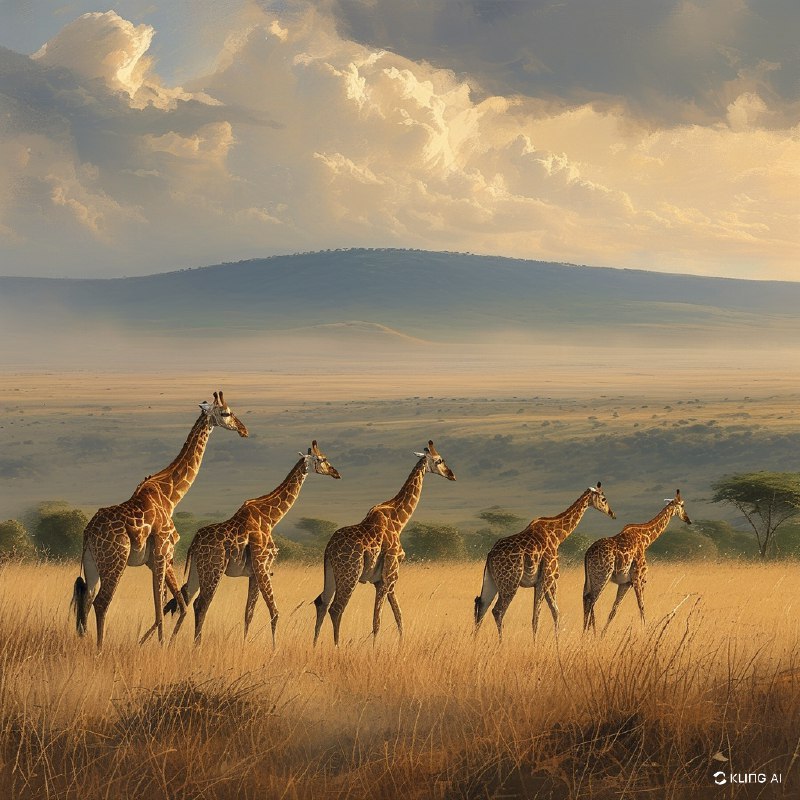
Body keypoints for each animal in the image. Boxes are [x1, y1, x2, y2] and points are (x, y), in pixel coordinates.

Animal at [71, 391, 249, 649]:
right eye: (226, 413)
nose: (243, 430)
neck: (170, 496)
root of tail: (88, 532)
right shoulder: (164, 552)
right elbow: (164, 606)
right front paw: (161, 644)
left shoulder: (157, 559)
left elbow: (170, 605)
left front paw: (150, 642)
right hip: (115, 560)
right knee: (101, 602)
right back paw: (99, 648)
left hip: (92, 562)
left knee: (86, 598)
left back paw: (84, 642)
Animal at [165, 441, 341, 645]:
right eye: (322, 459)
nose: (336, 472)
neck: (271, 518)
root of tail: (193, 543)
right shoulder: (263, 565)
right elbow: (274, 612)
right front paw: (274, 647)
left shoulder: (254, 573)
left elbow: (249, 613)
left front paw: (244, 644)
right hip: (214, 569)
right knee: (200, 604)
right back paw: (196, 645)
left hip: (196, 568)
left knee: (184, 600)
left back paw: (171, 643)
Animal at [313, 440, 455, 646]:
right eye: (439, 460)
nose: (451, 474)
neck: (399, 520)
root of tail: (329, 549)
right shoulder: (388, 577)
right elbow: (377, 621)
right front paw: (375, 648)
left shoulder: (385, 581)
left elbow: (398, 616)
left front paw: (401, 644)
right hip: (350, 573)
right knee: (336, 608)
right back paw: (337, 646)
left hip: (330, 572)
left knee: (321, 602)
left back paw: (314, 644)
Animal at [474, 483, 616, 640]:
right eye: (603, 499)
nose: (612, 514)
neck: (558, 536)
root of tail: (490, 555)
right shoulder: (548, 577)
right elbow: (538, 616)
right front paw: (537, 643)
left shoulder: (544, 581)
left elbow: (555, 612)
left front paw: (556, 642)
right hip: (510, 582)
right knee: (497, 610)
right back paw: (501, 643)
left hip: (491, 580)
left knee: (482, 606)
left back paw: (475, 641)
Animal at [582, 490, 692, 634]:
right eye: (683, 505)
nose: (688, 520)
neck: (646, 540)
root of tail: (587, 553)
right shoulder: (639, 578)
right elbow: (642, 606)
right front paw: (645, 631)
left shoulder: (625, 583)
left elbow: (614, 610)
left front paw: (603, 634)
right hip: (602, 575)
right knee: (592, 600)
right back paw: (590, 633)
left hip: (590, 578)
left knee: (586, 599)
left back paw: (586, 633)